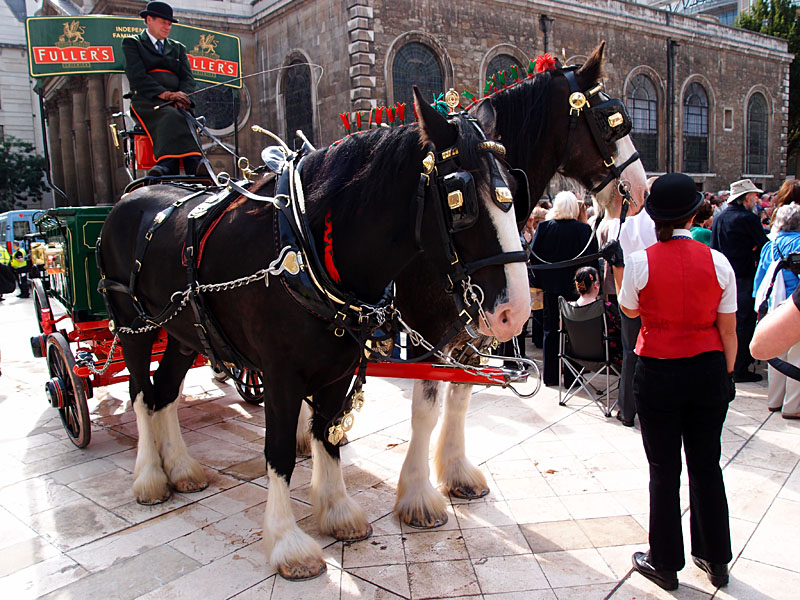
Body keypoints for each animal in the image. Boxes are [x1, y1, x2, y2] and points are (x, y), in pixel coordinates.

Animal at [98, 86, 532, 580]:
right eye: (461, 200)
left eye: (515, 188)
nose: (516, 312)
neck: (308, 245)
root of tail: (132, 196)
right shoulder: (280, 376)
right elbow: (280, 452)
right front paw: (288, 543)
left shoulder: (338, 367)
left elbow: (329, 433)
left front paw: (337, 511)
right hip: (134, 327)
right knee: (141, 393)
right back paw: (151, 476)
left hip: (184, 333)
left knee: (166, 391)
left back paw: (182, 468)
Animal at [392, 43, 648, 528]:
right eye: (612, 120)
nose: (642, 190)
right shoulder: (424, 335)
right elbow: (425, 410)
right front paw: (417, 497)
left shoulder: (473, 334)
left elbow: (461, 397)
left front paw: (456, 471)